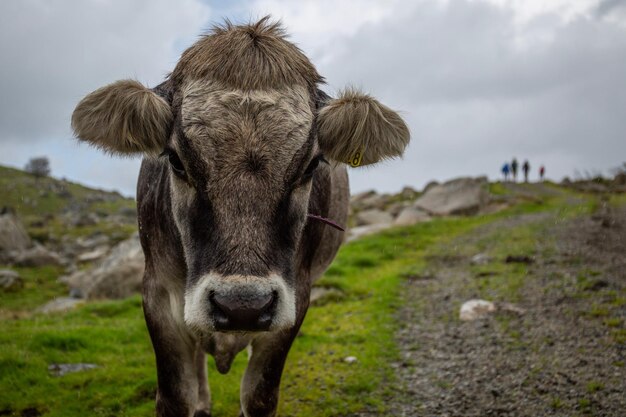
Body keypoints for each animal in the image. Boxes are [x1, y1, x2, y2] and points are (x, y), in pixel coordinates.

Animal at [70, 17, 410, 416]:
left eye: (312, 165)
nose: (242, 306)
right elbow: (175, 395)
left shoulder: (295, 300)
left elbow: (259, 395)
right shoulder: (157, 296)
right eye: (176, 160)